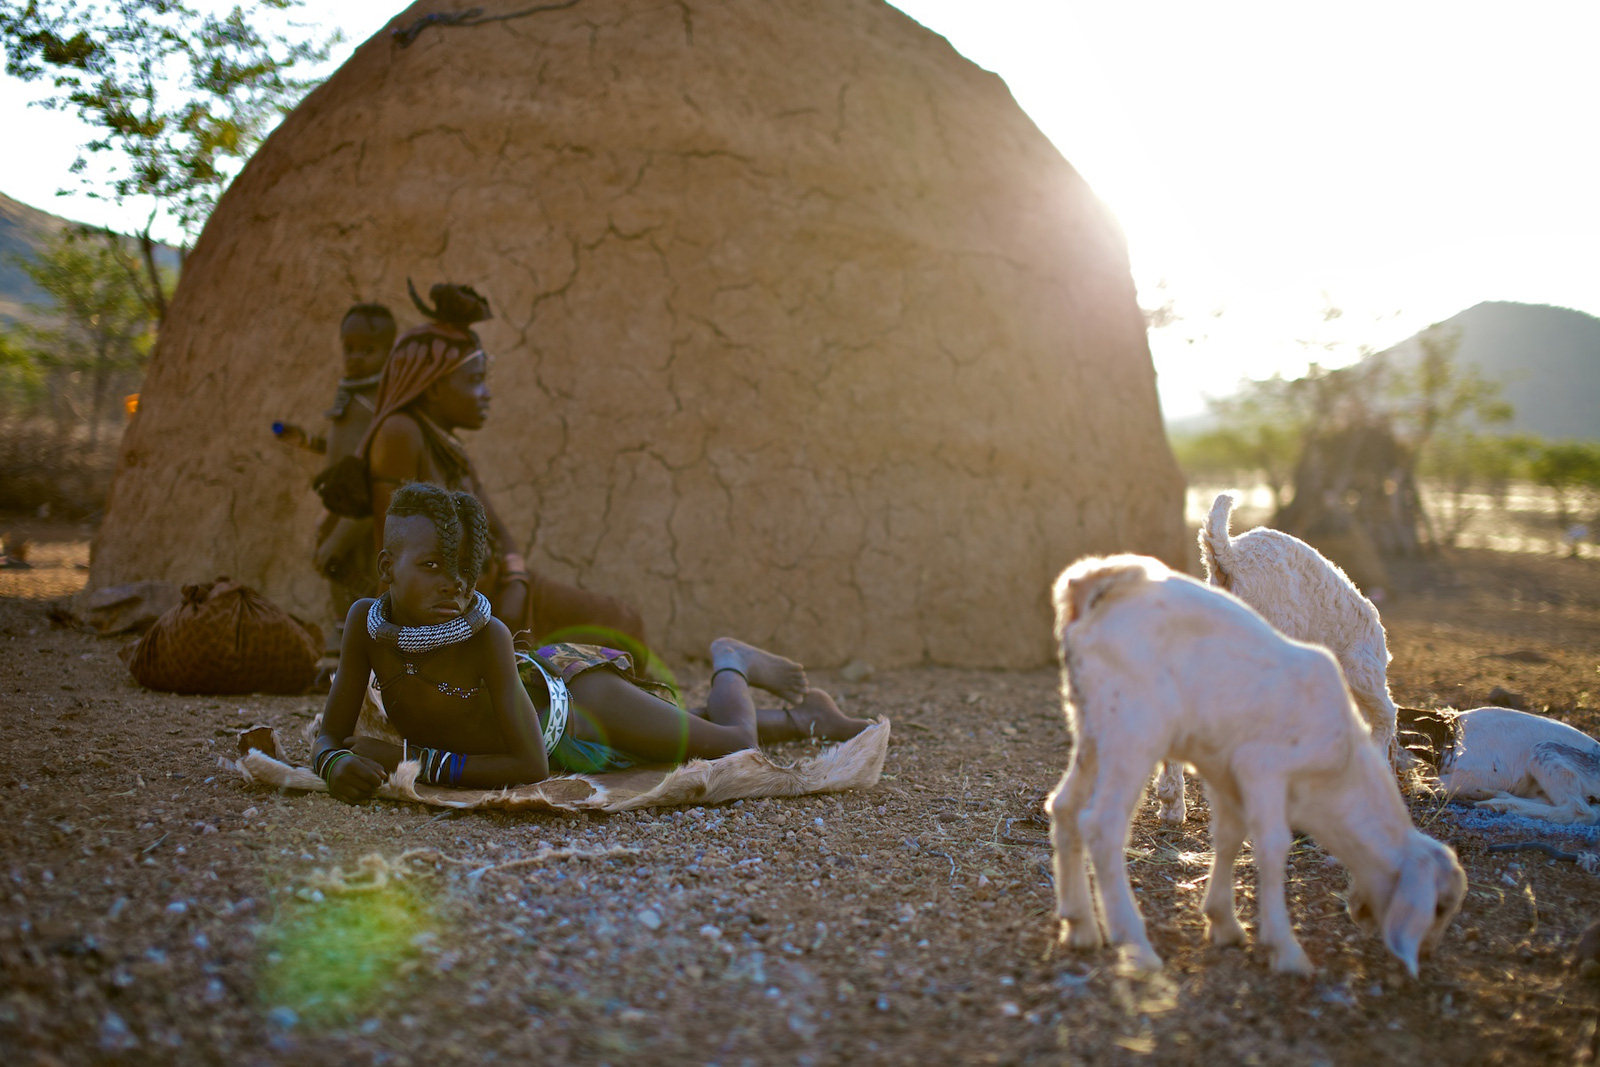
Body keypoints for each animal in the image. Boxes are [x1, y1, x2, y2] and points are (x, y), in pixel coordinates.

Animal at [1049, 559, 1465, 979]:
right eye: (1439, 906)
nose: (1427, 954)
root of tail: (1095, 588)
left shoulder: (1224, 772)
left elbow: (1229, 837)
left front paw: (1224, 923)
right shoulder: (1263, 768)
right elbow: (1271, 844)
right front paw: (1285, 949)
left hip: (1092, 727)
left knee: (1064, 807)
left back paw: (1080, 928)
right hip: (1134, 729)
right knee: (1102, 825)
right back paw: (1135, 944)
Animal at [1408, 710, 1600, 825]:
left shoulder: (1486, 773)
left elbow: (1433, 783)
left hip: (1545, 751)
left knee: (1580, 811)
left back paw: (1496, 804)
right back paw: (1494, 796)